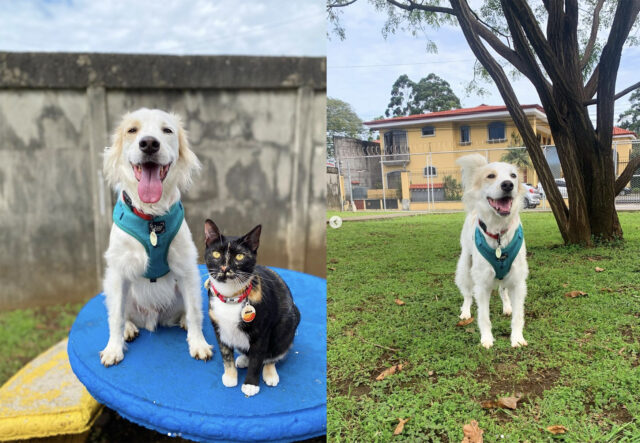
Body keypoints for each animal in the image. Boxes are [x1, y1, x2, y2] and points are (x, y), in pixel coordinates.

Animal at [98, 108, 212, 368]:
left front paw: (198, 343)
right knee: (121, 313)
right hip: (113, 286)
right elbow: (115, 316)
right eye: (132, 130)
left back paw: (182, 321)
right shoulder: (118, 272)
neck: (151, 218)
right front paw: (113, 348)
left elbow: (194, 311)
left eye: (167, 130)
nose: (149, 143)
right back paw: (129, 328)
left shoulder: (186, 268)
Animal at [204, 220, 302, 398]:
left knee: (272, 355)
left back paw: (269, 372)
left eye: (240, 256)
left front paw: (250, 384)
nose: (225, 268)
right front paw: (230, 375)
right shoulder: (218, 327)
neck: (231, 298)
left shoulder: (262, 331)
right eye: (215, 254)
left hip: (288, 323)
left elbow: (257, 358)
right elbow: (225, 352)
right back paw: (243, 359)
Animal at [456, 154, 528, 348]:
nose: (508, 185)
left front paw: (517, 338)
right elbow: (484, 317)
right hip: (465, 267)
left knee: (503, 290)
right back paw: (465, 312)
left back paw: (507, 306)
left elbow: (518, 316)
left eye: (513, 176)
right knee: (467, 293)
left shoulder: (518, 282)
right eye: (490, 176)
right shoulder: (482, 284)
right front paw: (487, 339)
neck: (499, 234)